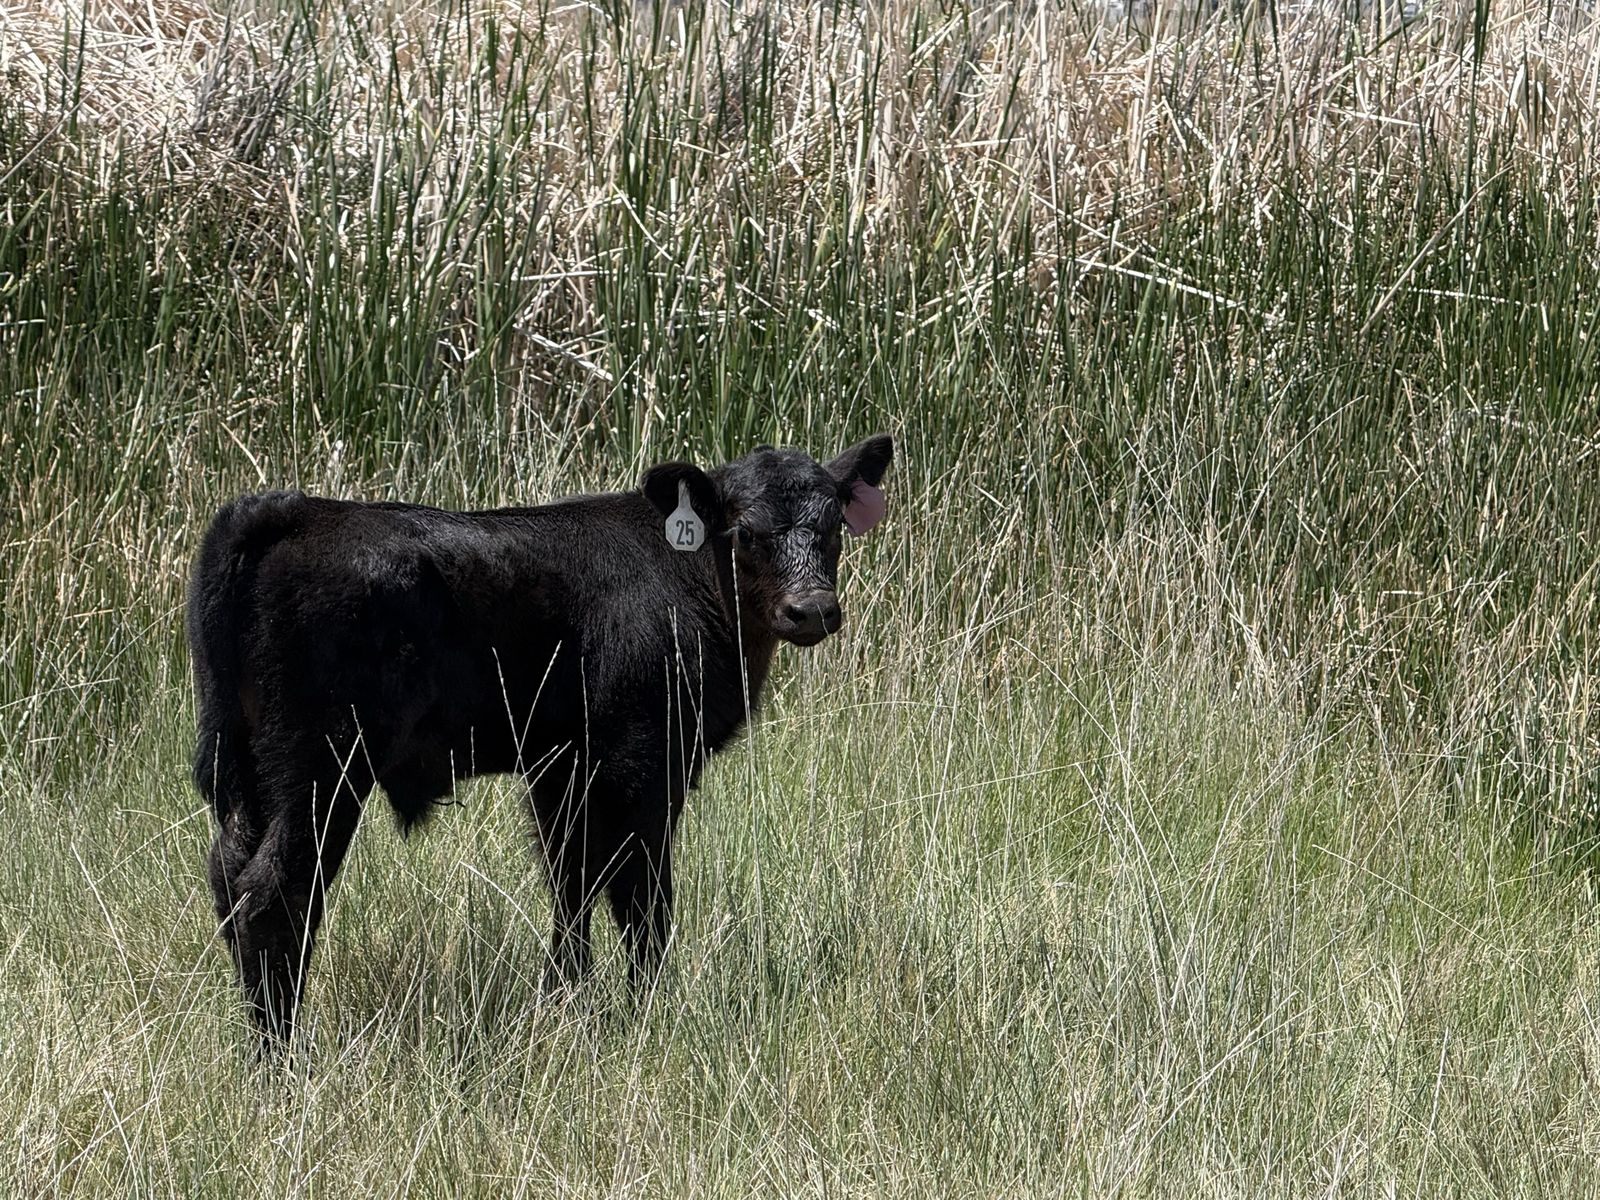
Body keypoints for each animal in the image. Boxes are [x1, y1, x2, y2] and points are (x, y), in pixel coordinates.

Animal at [186, 435, 893, 1046]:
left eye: (833, 527)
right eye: (744, 532)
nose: (812, 610)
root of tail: (294, 510)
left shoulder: (561, 768)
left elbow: (571, 885)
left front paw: (566, 1003)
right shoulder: (642, 763)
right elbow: (643, 900)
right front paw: (644, 1016)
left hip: (249, 772)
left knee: (230, 880)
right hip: (321, 766)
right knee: (273, 897)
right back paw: (280, 1061)